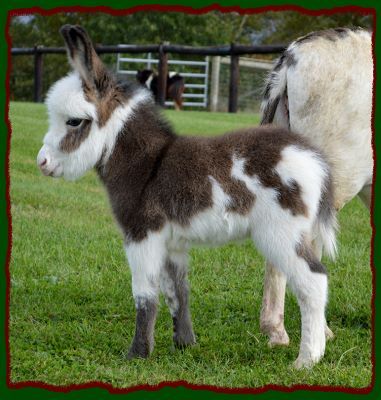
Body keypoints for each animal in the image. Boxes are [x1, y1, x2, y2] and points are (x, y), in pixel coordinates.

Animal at [36, 25, 336, 368]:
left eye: (73, 121)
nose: (41, 163)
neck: (148, 163)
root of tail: (313, 158)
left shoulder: (142, 234)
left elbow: (144, 294)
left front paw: (137, 354)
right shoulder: (172, 242)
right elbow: (177, 290)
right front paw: (184, 344)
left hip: (279, 233)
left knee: (314, 281)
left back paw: (307, 360)